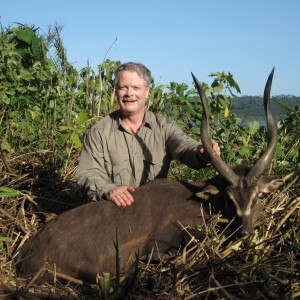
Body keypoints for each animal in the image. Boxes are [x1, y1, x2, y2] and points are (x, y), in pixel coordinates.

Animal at [15, 68, 284, 284]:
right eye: (230, 198)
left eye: (257, 197)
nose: (246, 232)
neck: (202, 201)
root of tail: (24, 256)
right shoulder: (166, 240)